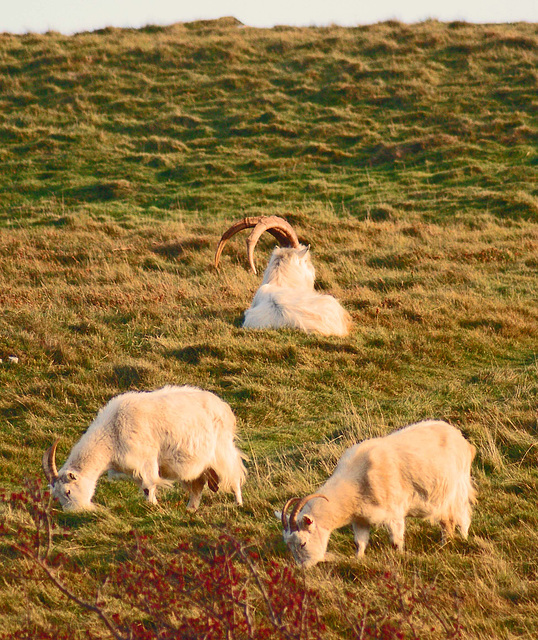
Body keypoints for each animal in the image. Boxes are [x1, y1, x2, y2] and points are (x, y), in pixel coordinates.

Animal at [42, 382, 247, 512]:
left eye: (68, 491)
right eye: (56, 496)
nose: (75, 512)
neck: (112, 431)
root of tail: (224, 408)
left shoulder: (146, 458)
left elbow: (149, 485)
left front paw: (152, 506)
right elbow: (144, 487)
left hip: (222, 450)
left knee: (234, 474)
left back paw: (238, 503)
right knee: (196, 488)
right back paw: (190, 509)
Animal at [276, 422, 474, 568]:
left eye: (302, 543)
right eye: (288, 545)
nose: (303, 568)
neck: (356, 479)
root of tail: (462, 440)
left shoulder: (394, 512)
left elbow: (396, 540)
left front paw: (399, 557)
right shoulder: (360, 519)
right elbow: (360, 542)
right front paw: (359, 560)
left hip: (458, 487)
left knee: (461, 515)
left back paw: (459, 540)